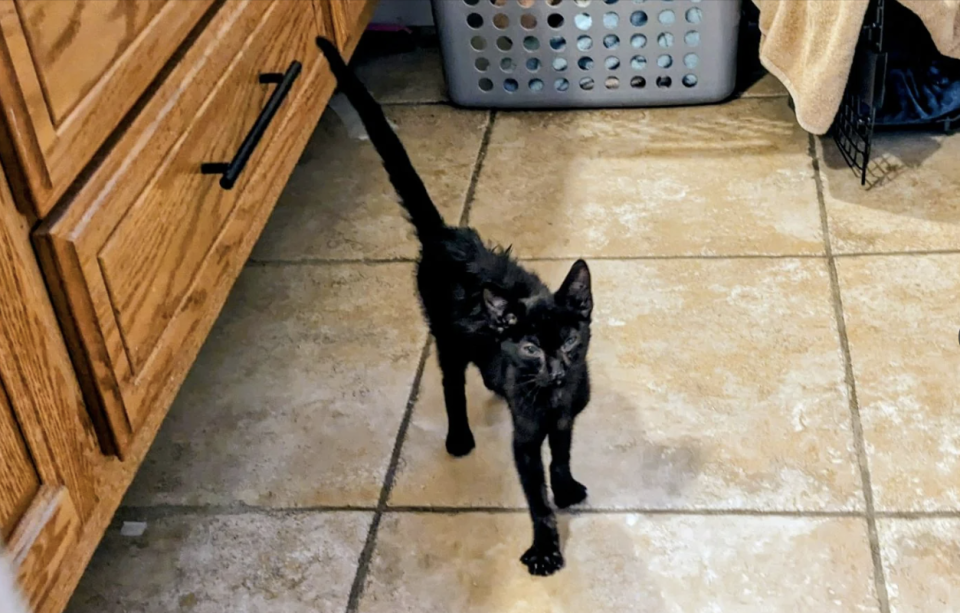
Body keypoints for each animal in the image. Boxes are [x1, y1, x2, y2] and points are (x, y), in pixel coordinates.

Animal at [318, 38, 592, 572]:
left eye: (571, 338)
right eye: (532, 348)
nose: (555, 369)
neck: (550, 398)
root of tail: (445, 235)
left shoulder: (567, 417)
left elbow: (563, 454)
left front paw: (567, 486)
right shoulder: (524, 438)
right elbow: (536, 494)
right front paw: (545, 547)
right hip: (443, 332)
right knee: (450, 382)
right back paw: (460, 436)